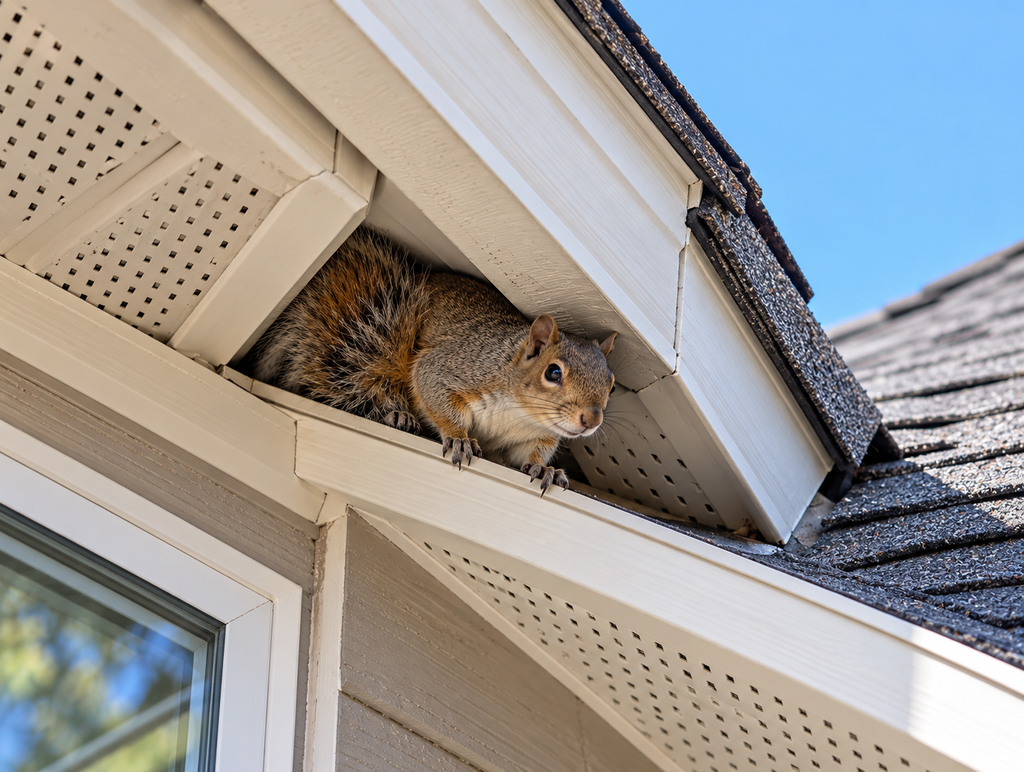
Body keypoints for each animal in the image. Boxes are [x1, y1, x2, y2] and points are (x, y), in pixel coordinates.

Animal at [247, 226, 617, 494]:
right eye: (553, 372)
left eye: (611, 386)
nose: (591, 420)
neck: (520, 414)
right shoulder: (455, 367)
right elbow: (435, 393)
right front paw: (458, 438)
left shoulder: (534, 437)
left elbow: (528, 455)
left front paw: (546, 469)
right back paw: (397, 413)